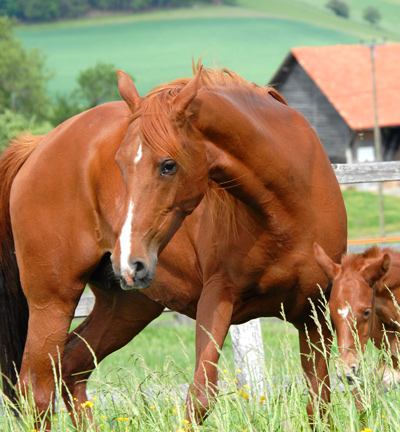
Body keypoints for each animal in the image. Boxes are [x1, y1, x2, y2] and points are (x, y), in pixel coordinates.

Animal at [0, 65, 346, 430]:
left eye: (169, 165)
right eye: (120, 164)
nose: (130, 262)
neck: (289, 209)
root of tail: (39, 146)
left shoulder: (313, 315)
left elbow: (320, 401)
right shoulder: (218, 298)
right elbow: (200, 398)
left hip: (126, 307)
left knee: (71, 369)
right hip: (52, 302)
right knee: (37, 391)